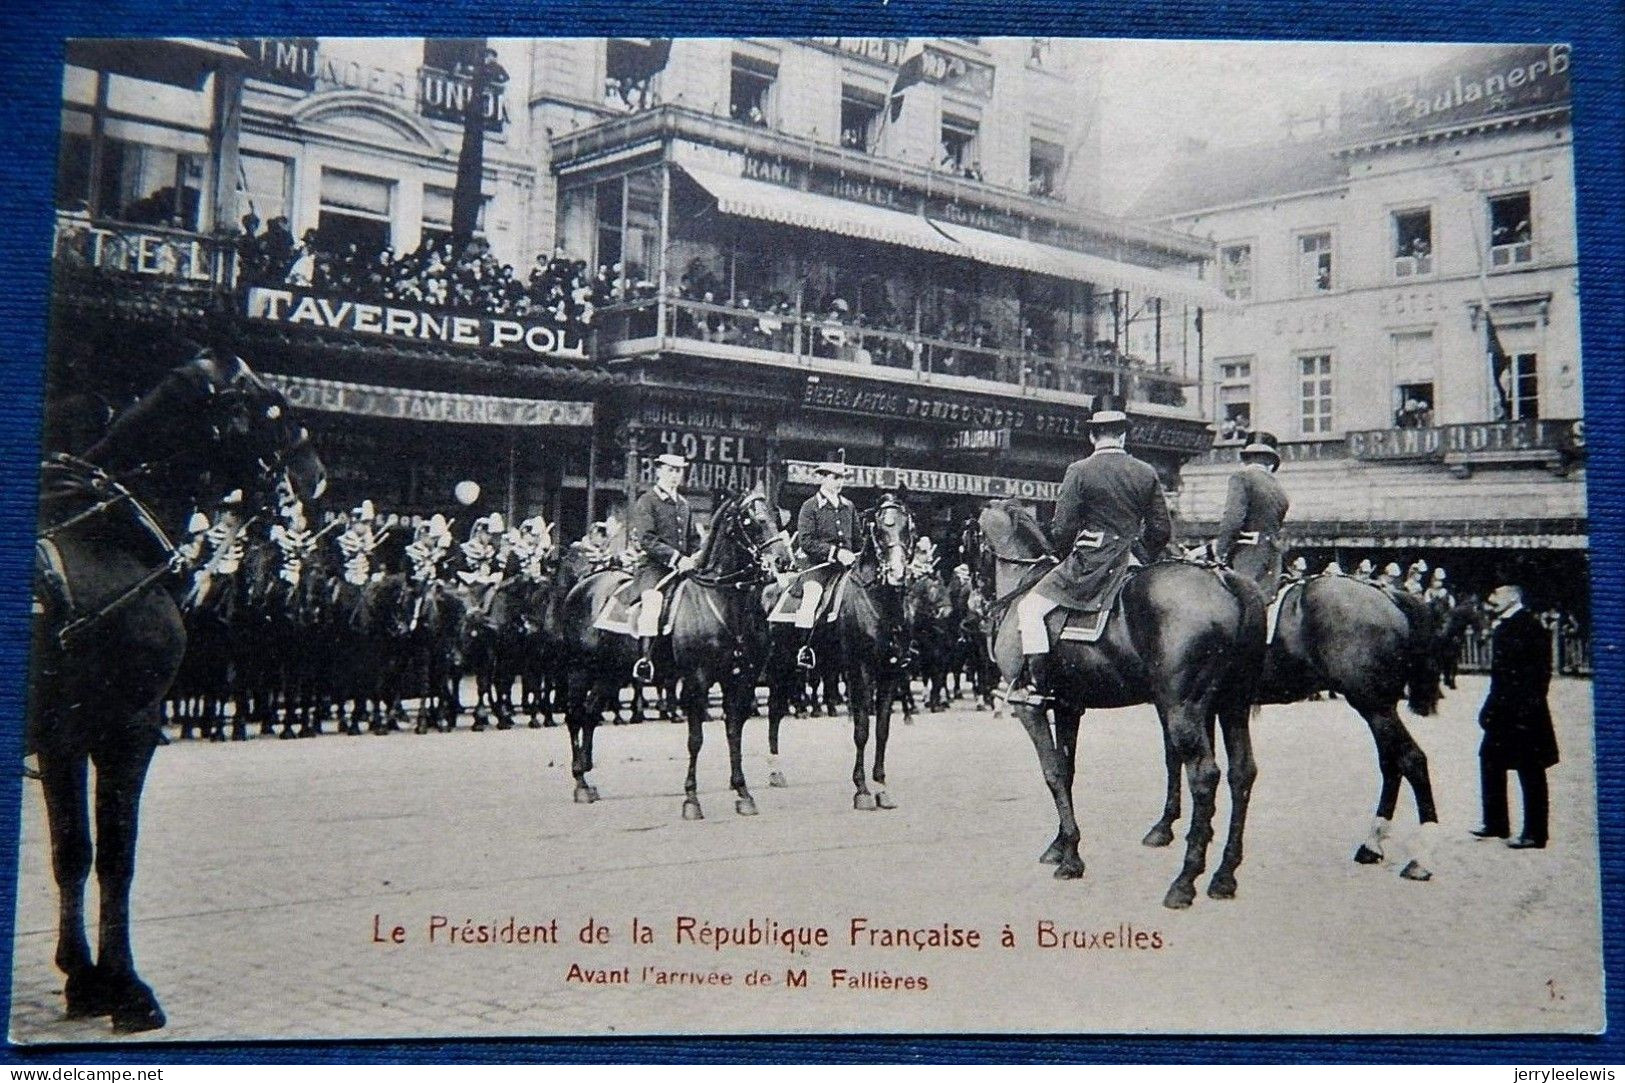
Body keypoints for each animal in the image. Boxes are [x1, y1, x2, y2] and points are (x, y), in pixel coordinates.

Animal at [33, 354, 323, 1027]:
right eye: (272, 406)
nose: (316, 474)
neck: (109, 536)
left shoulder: (63, 739)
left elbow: (71, 852)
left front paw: (82, 977)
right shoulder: (125, 726)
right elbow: (114, 854)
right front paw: (125, 988)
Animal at [968, 500, 1261, 904]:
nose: (978, 604)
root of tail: (1223, 580)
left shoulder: (1029, 708)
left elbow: (1052, 772)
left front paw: (1071, 858)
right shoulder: (1068, 706)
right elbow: (1067, 770)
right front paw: (1060, 845)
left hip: (1183, 708)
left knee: (1204, 775)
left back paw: (1185, 881)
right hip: (1231, 705)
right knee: (1241, 773)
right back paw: (1224, 875)